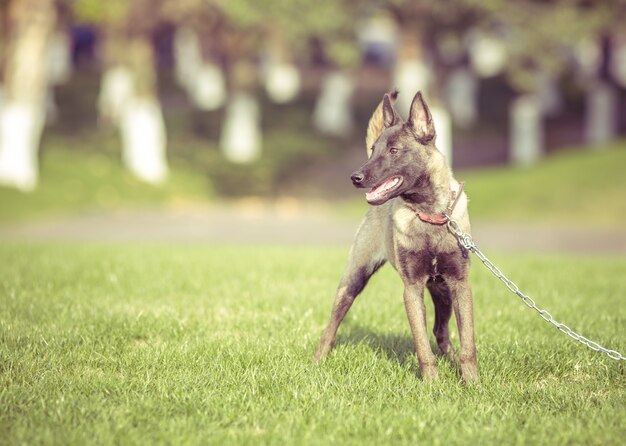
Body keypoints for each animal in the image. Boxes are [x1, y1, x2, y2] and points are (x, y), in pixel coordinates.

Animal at [312, 90, 478, 384]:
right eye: (373, 150)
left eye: (393, 150)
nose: (355, 177)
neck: (429, 215)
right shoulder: (411, 289)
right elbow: (421, 344)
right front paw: (432, 383)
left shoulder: (459, 284)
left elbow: (467, 341)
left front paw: (471, 382)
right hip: (353, 280)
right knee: (331, 327)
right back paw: (318, 362)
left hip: (443, 292)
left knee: (441, 331)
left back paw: (451, 360)